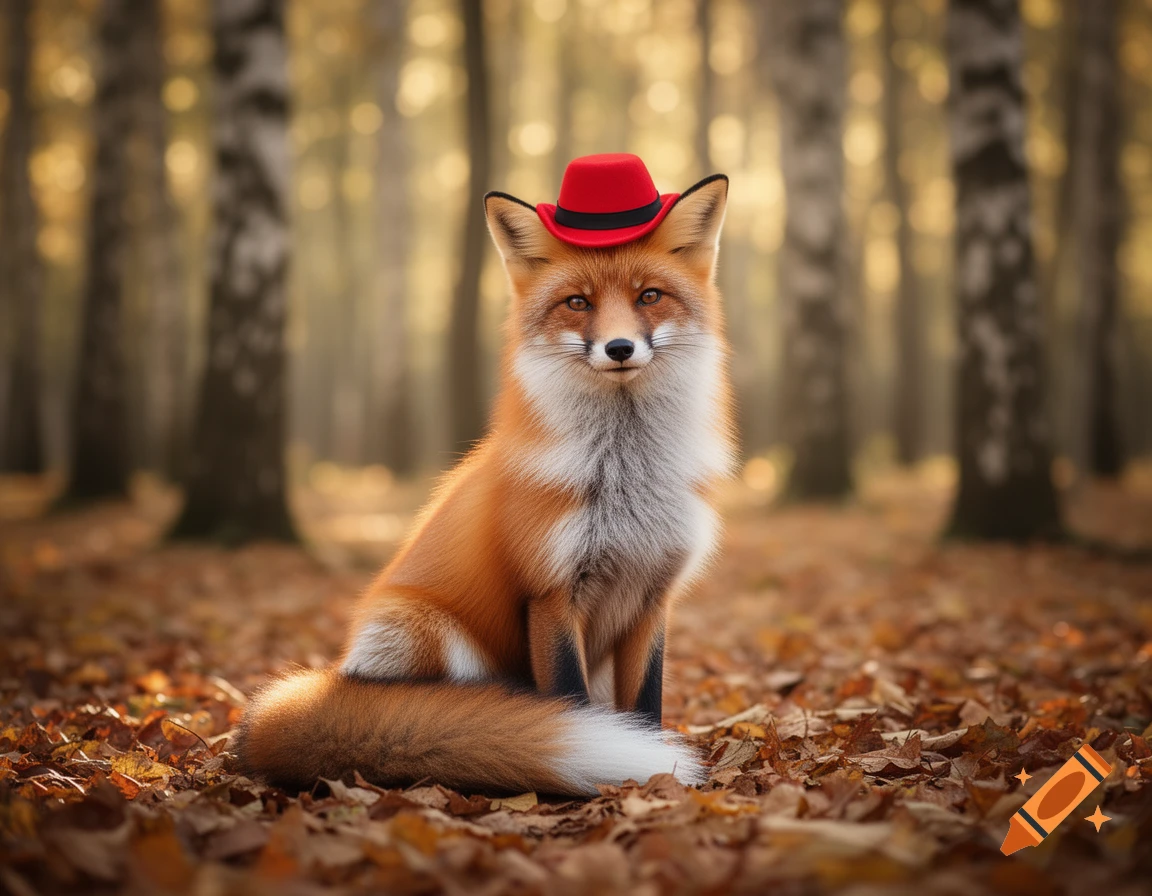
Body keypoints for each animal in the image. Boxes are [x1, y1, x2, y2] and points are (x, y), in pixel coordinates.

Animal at [236, 168, 735, 796]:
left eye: (649, 296)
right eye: (578, 303)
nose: (619, 348)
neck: (627, 479)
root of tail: (341, 673)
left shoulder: (652, 598)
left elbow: (646, 708)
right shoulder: (549, 593)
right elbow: (568, 703)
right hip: (426, 632)